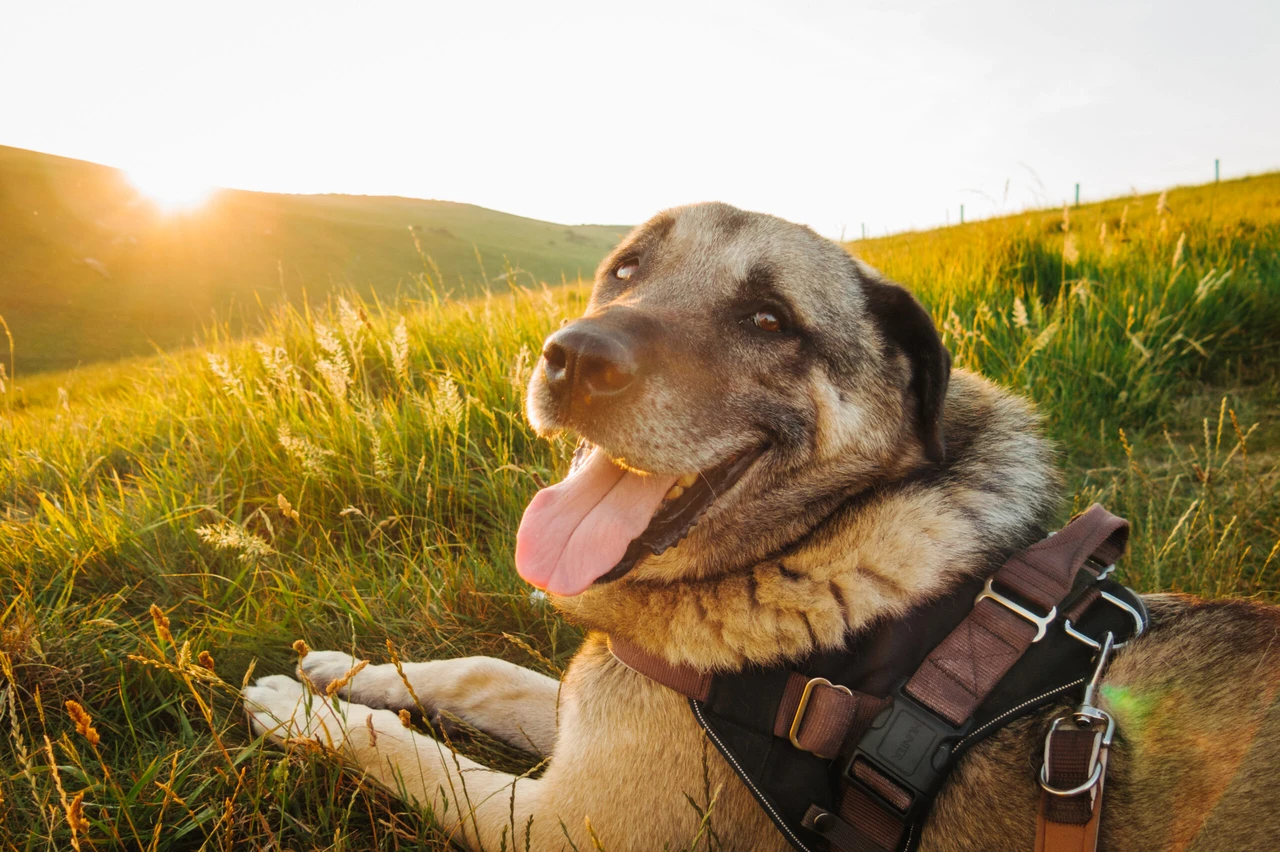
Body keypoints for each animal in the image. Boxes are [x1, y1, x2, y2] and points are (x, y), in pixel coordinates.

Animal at [244, 202, 1280, 844]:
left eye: (771, 319)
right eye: (625, 268)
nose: (567, 358)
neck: (810, 545)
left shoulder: (559, 823)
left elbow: (410, 754)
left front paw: (303, 710)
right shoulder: (598, 723)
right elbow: (479, 671)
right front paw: (352, 672)